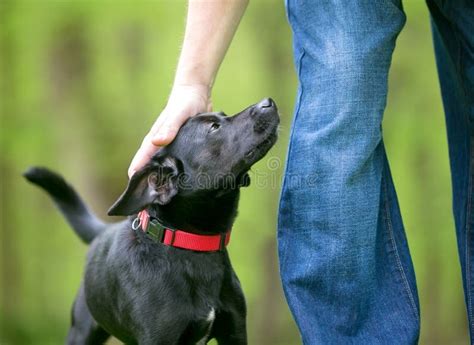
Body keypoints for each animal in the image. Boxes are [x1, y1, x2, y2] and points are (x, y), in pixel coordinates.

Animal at [24, 98, 280, 342]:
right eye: (213, 127)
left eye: (223, 116)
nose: (268, 102)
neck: (191, 246)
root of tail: (101, 233)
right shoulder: (158, 336)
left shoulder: (235, 331)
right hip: (81, 330)